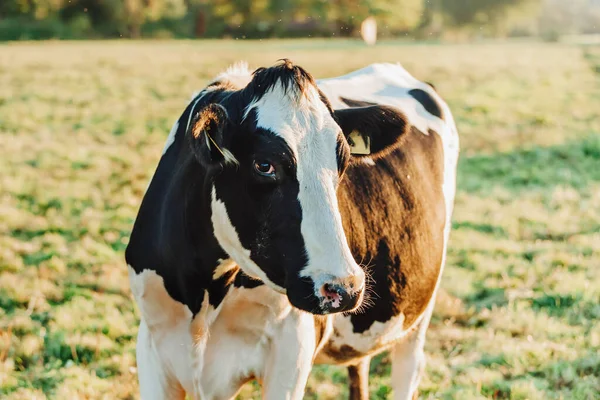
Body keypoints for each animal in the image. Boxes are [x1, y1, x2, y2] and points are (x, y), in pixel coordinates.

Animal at [124, 59, 458, 400]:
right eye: (264, 165)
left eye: (343, 162)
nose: (344, 288)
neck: (201, 298)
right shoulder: (152, 345)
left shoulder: (291, 348)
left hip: (418, 314)